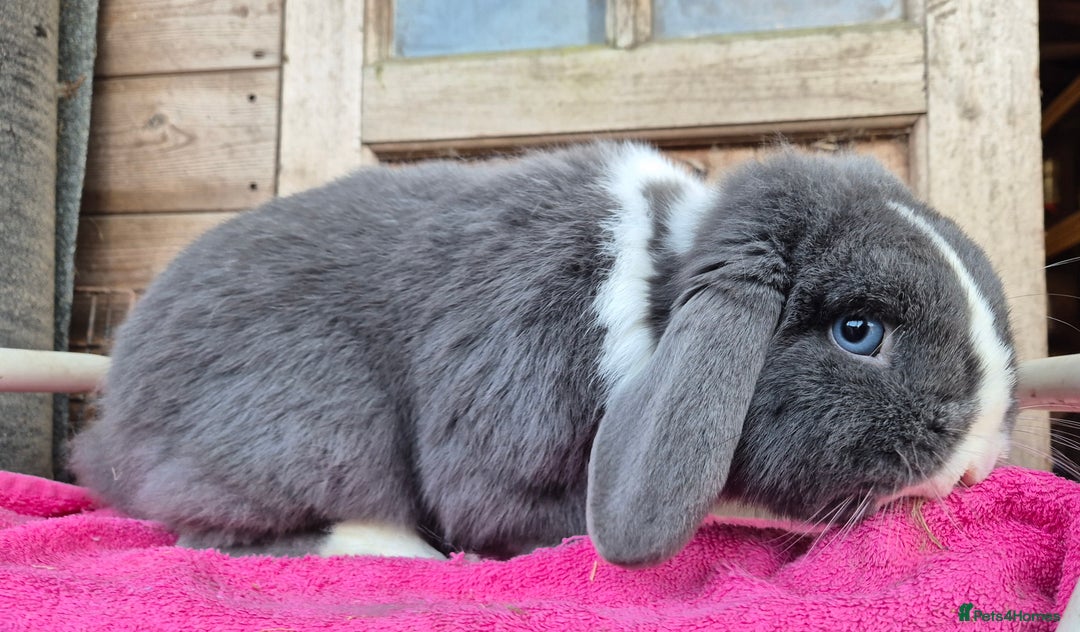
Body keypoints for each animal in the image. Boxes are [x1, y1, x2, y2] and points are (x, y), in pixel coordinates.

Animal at [68, 141, 1018, 568]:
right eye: (858, 331)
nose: (978, 462)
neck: (660, 297)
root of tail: (111, 428)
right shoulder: (509, 468)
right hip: (307, 428)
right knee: (212, 528)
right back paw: (394, 548)